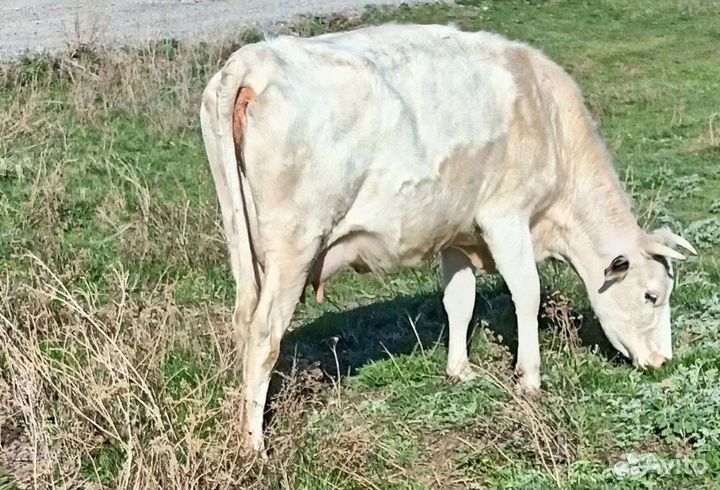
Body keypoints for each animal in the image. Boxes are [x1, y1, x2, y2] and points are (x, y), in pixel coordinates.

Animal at [200, 24, 696, 452]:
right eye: (652, 296)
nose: (664, 362)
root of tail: (253, 60)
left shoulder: (458, 233)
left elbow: (460, 301)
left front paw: (460, 370)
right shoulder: (505, 215)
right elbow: (527, 293)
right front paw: (529, 380)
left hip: (241, 237)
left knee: (244, 322)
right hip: (296, 244)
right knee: (265, 333)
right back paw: (255, 446)